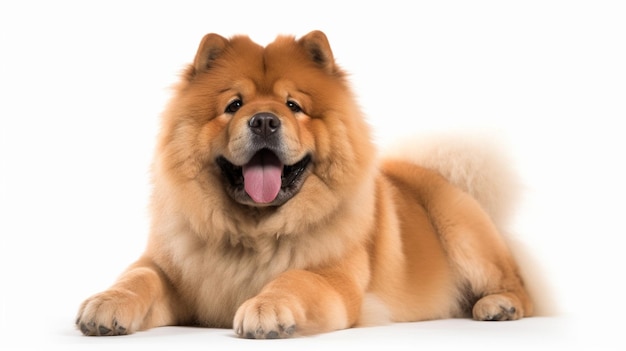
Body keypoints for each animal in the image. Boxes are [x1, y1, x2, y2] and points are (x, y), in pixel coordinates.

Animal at [74, 31, 532, 340]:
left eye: (293, 105)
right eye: (233, 105)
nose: (263, 120)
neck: (252, 234)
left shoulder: (334, 279)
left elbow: (296, 278)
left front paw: (266, 308)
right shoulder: (169, 270)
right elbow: (138, 278)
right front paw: (106, 303)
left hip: (464, 233)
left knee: (520, 286)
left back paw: (498, 306)